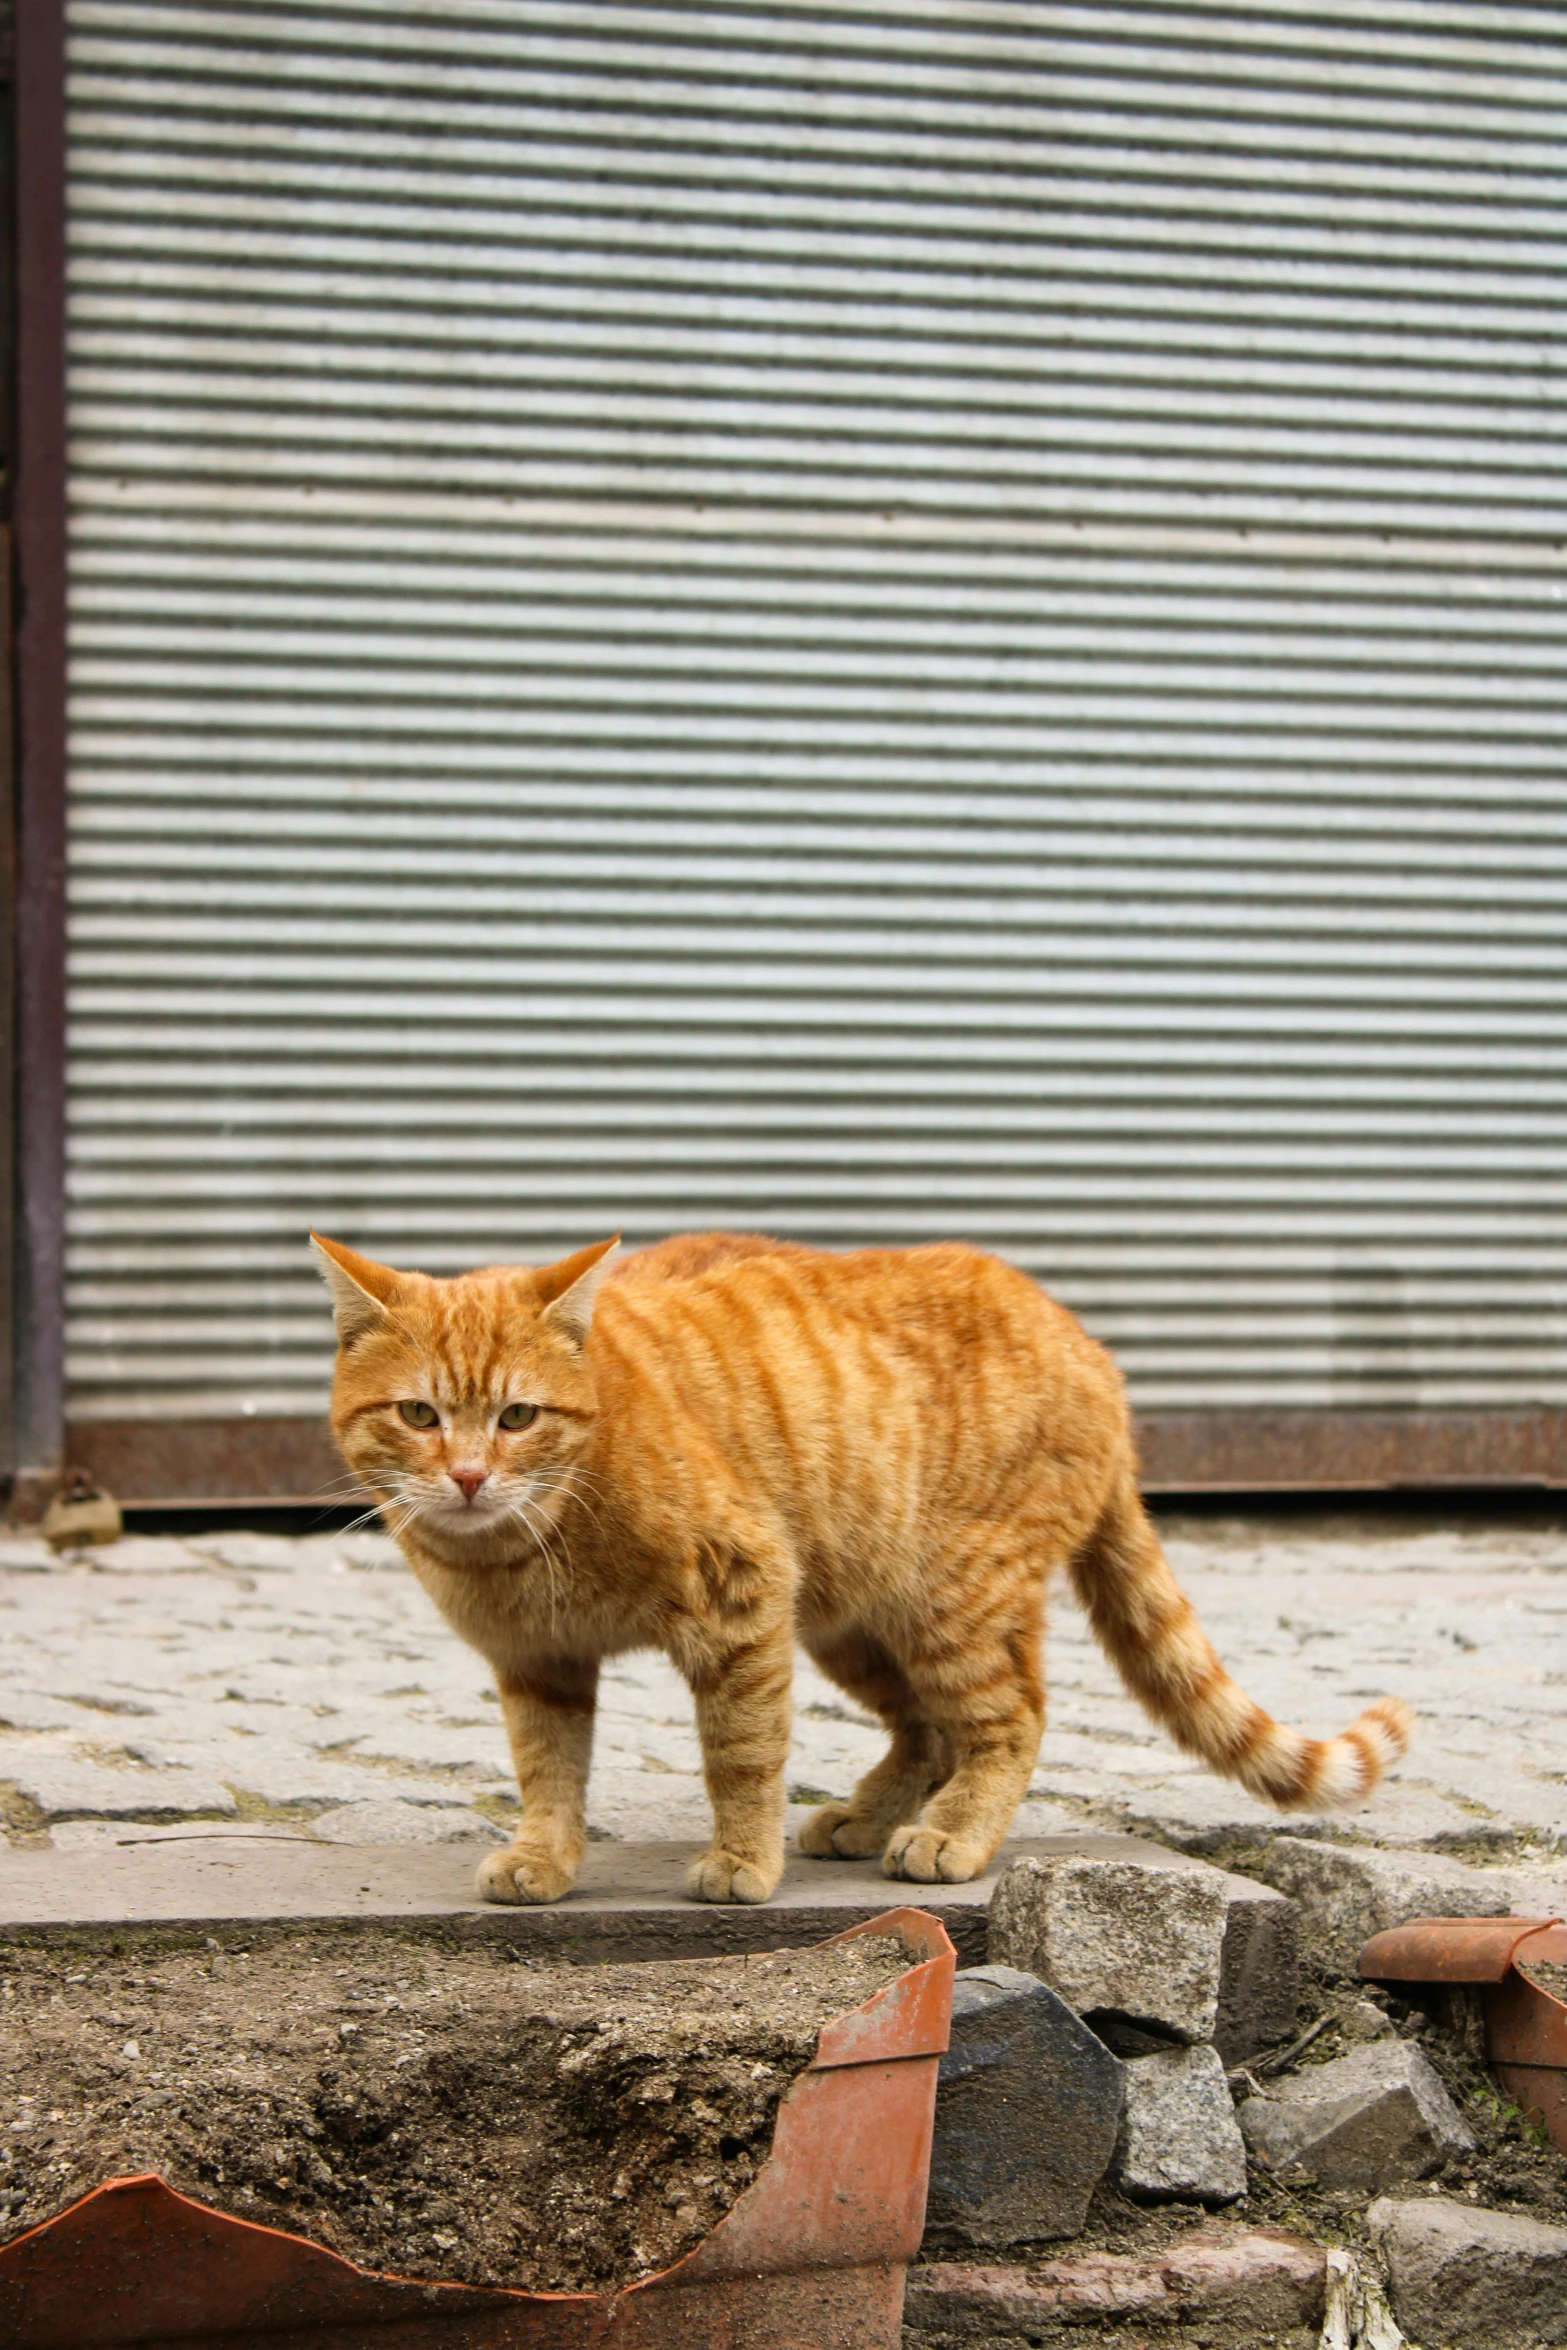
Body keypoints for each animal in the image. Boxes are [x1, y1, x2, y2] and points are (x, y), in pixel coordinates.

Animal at [312, 1231, 1418, 1908]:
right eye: (418, 1414)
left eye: (516, 1417)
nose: (466, 1476)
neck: (524, 1547)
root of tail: (1093, 1351)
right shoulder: (538, 1664)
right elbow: (547, 1771)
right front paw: (547, 1858)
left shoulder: (742, 1598)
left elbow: (741, 1755)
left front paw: (740, 1860)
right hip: (847, 1619)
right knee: (926, 1728)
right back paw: (868, 1815)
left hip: (945, 1600)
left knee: (1011, 1719)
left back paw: (951, 1835)